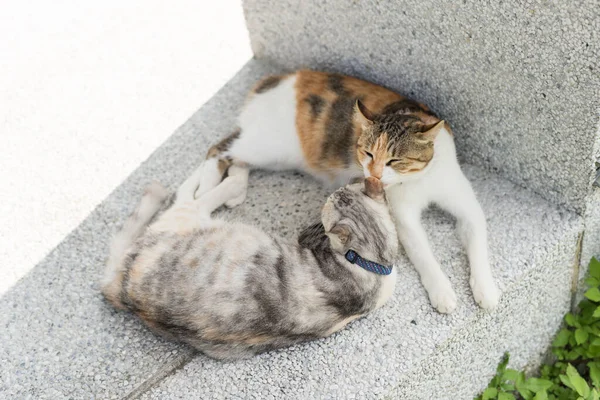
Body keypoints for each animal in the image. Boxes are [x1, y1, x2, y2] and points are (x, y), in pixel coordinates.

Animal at [102, 162, 398, 360]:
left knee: (190, 195)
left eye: (326, 205)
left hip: (189, 218)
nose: (330, 195)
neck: (376, 262)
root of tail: (124, 291)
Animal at [195, 70, 500, 312]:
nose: (373, 175)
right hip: (268, 146)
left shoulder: (465, 203)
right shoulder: (405, 219)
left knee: (236, 156)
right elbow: (425, 256)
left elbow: (478, 242)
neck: (419, 180)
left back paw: (235, 189)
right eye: (367, 153)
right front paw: (442, 291)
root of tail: (279, 78)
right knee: (219, 148)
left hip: (272, 155)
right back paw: (202, 188)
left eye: (394, 161)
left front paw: (485, 289)